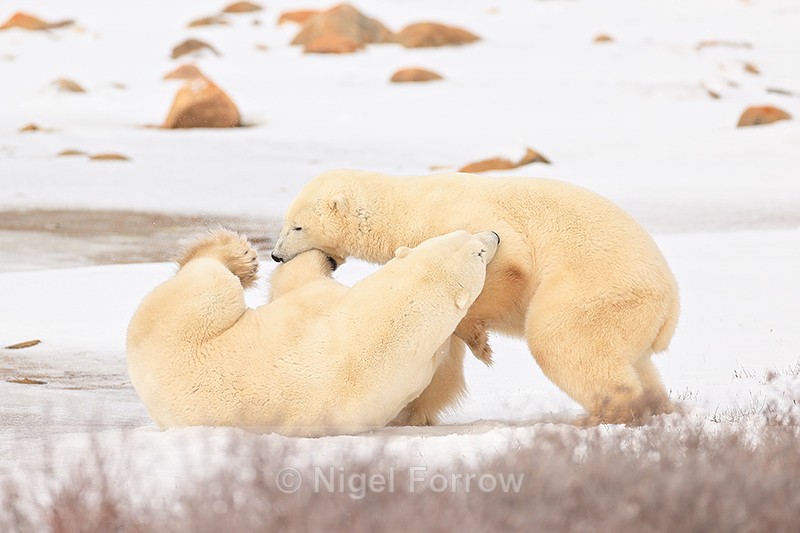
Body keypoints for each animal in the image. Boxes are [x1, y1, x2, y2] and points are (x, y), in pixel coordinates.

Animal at [126, 228, 499, 436]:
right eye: (467, 238)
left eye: (479, 249)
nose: (494, 236)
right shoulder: (320, 307)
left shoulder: (412, 371)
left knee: (211, 282)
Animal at [270, 169, 680, 426]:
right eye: (285, 224)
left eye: (297, 227)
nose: (275, 255)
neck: (407, 207)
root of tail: (671, 308)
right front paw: (410, 412)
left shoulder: (457, 218)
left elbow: (509, 263)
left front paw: (481, 343)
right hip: (630, 315)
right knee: (634, 360)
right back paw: (659, 406)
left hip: (595, 287)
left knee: (561, 339)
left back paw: (601, 415)